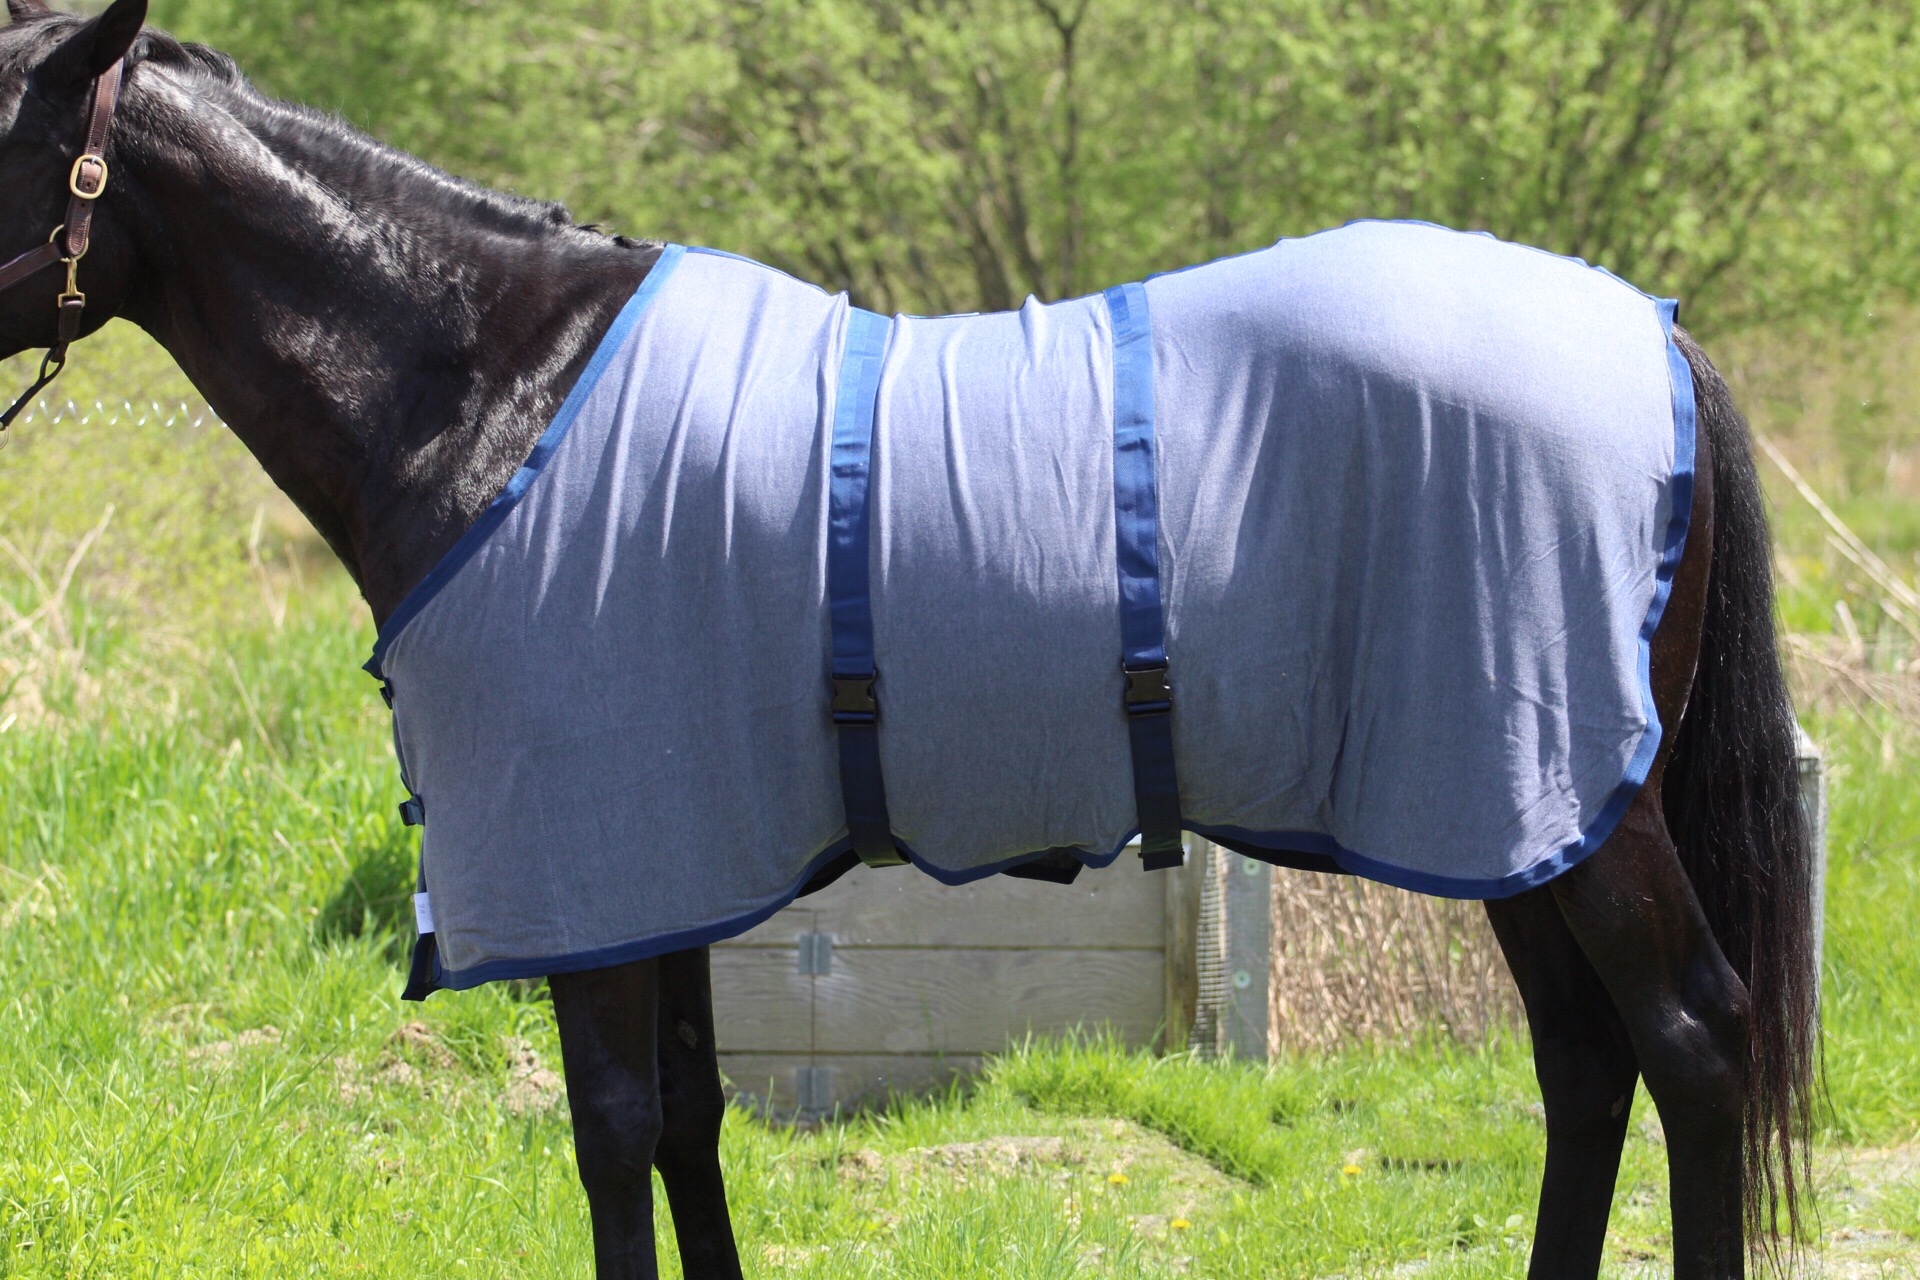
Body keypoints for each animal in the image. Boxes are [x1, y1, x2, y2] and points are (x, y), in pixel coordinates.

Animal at [0, 3, 1817, 1278]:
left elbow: (613, 1139)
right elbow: (689, 1128)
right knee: (1586, 1064)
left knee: (1690, 1041)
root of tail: (1651, 331)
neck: (493, 393)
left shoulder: (592, 883)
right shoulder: (664, 872)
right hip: (1514, 817)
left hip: (1572, 807)